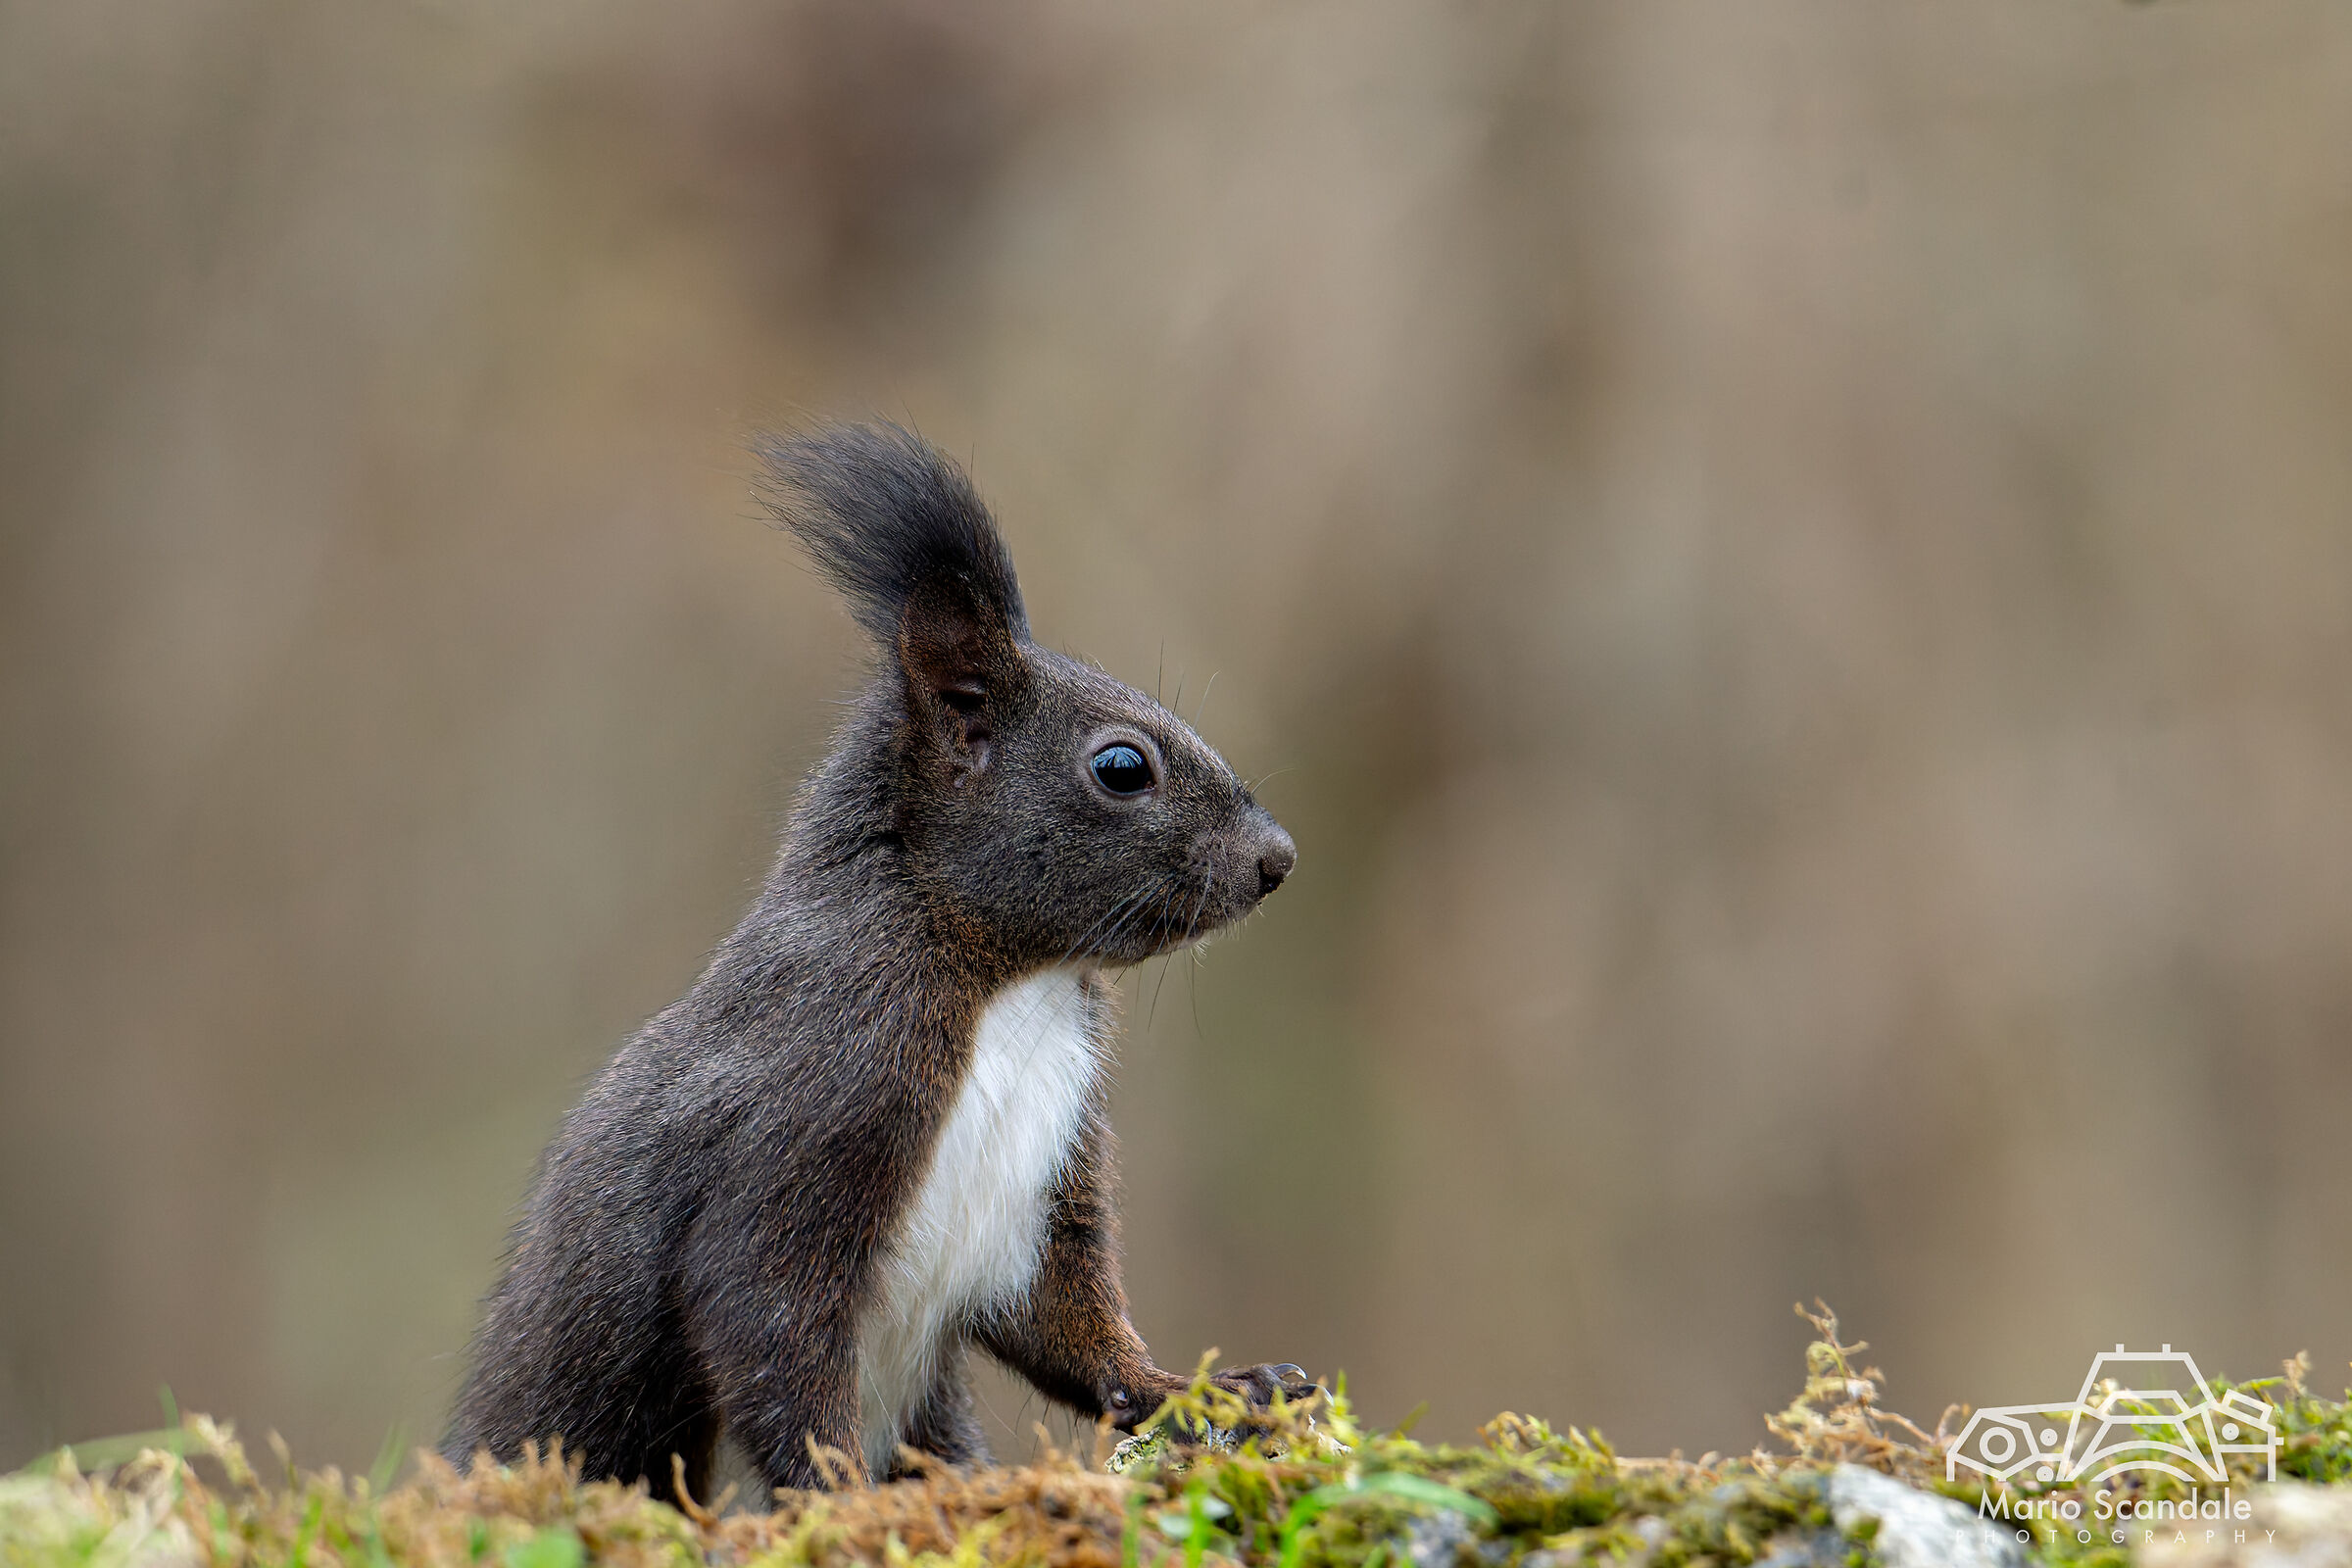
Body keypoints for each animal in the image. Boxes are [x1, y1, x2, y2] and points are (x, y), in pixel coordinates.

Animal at [444, 424, 1311, 1497]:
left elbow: (1073, 1324)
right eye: (1121, 767)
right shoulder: (816, 1102)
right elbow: (770, 1322)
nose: (1277, 859)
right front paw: (831, 1500)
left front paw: (1213, 1389)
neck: (1008, 983)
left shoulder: (1047, 1179)